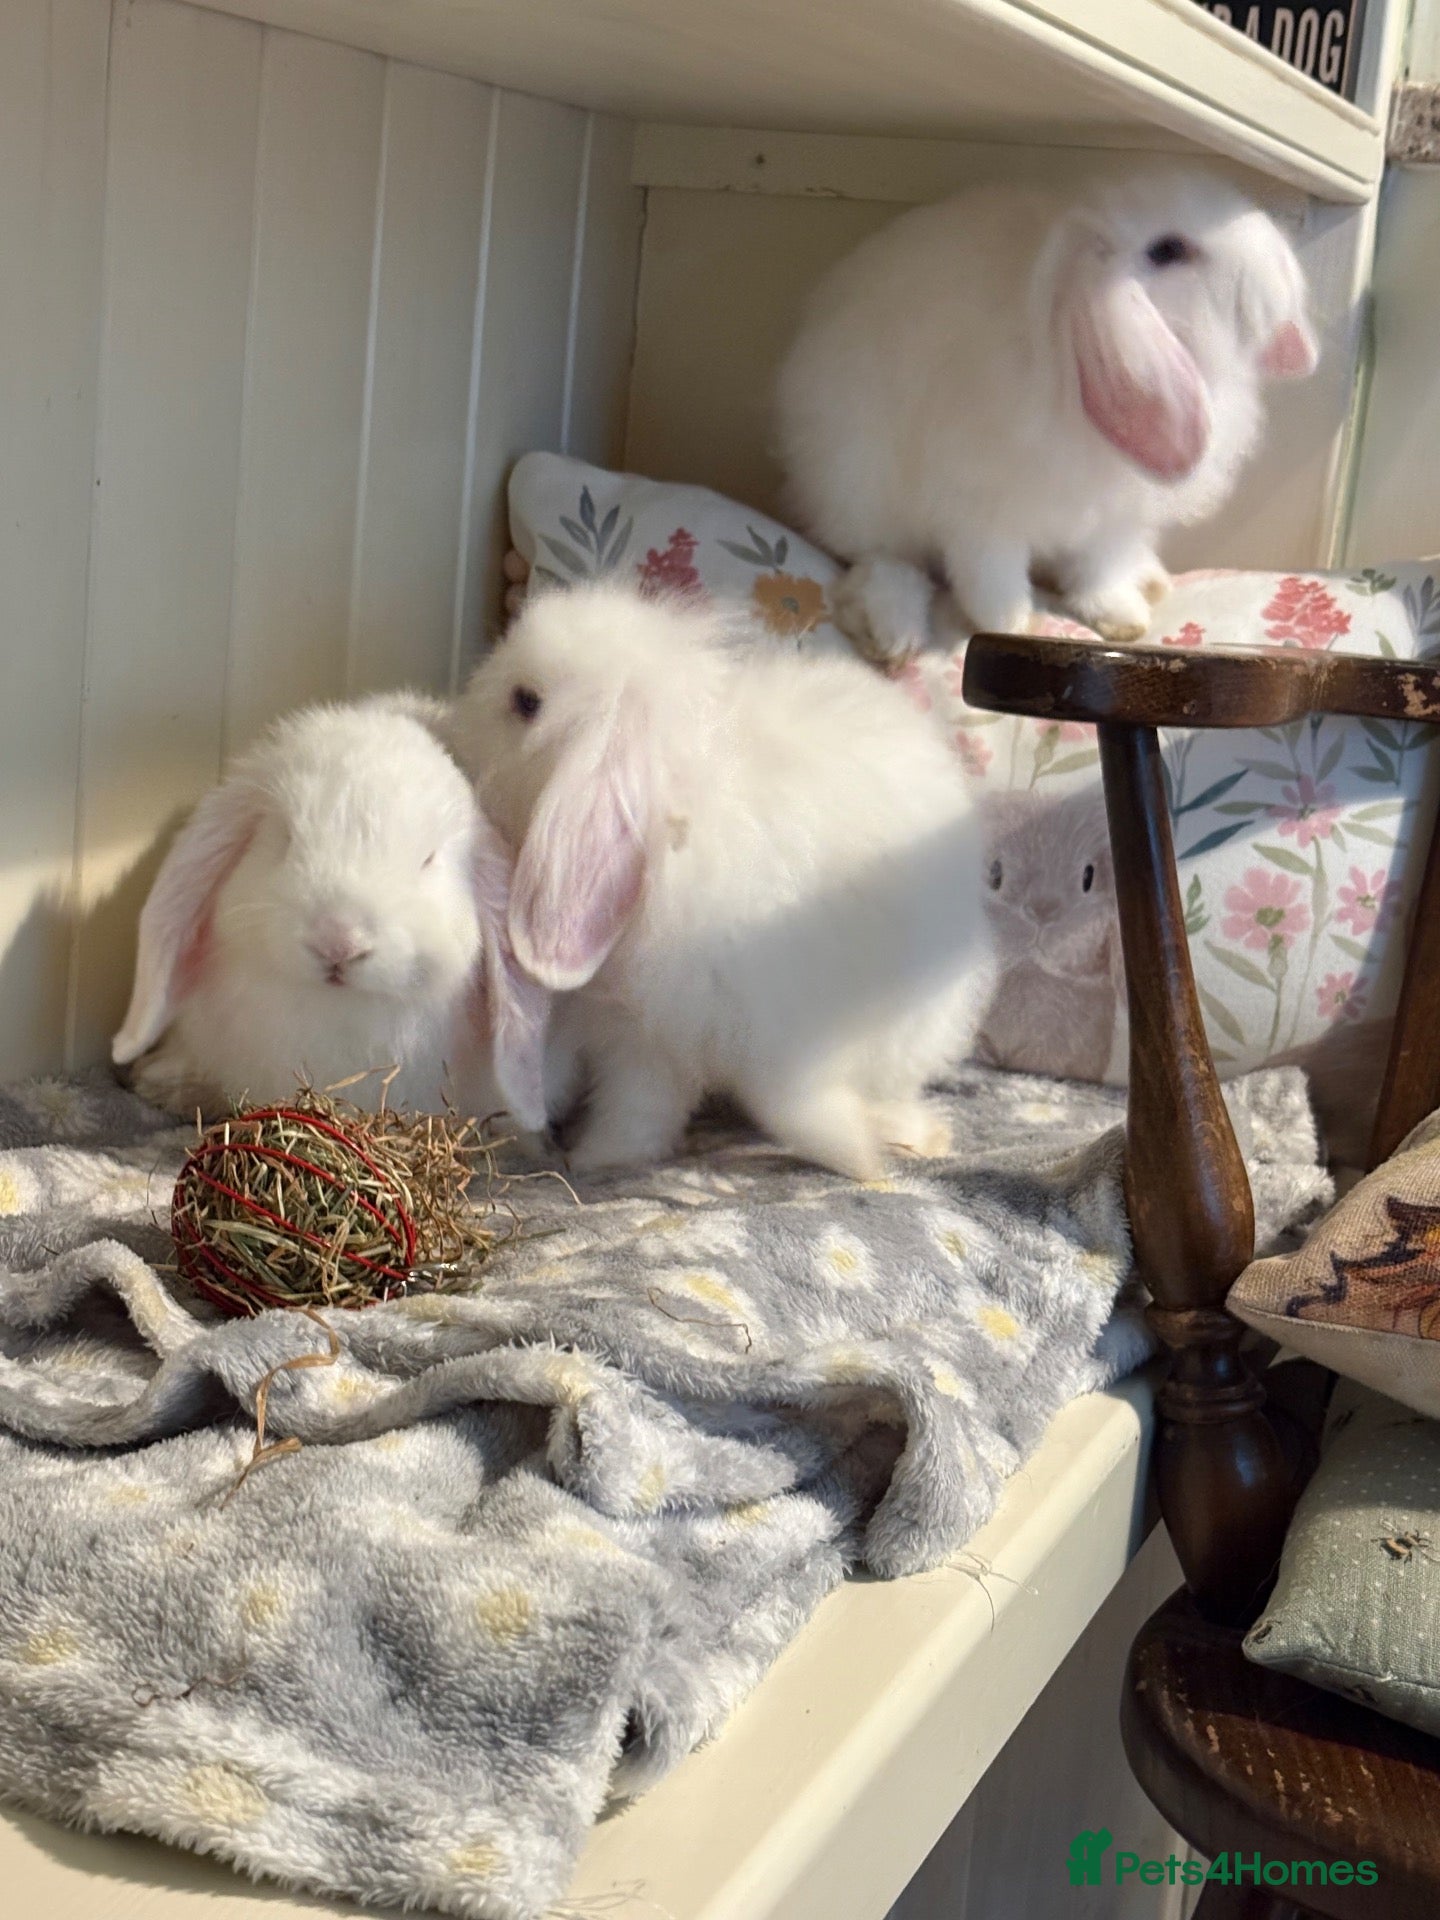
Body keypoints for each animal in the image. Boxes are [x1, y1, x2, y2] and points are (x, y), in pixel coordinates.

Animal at [451, 581, 996, 1180]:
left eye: (526, 701)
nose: (459, 721)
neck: (667, 821)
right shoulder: (637, 1029)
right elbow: (641, 1103)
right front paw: (596, 1155)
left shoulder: (706, 1026)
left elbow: (680, 1102)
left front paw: (594, 1159)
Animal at [774, 167, 1317, 661]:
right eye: (1166, 250)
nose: (1278, 279)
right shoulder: (980, 508)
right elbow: (991, 576)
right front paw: (1013, 624)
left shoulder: (1112, 522)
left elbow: (1100, 573)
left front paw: (1123, 620)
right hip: (859, 490)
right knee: (883, 564)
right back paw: (892, 632)